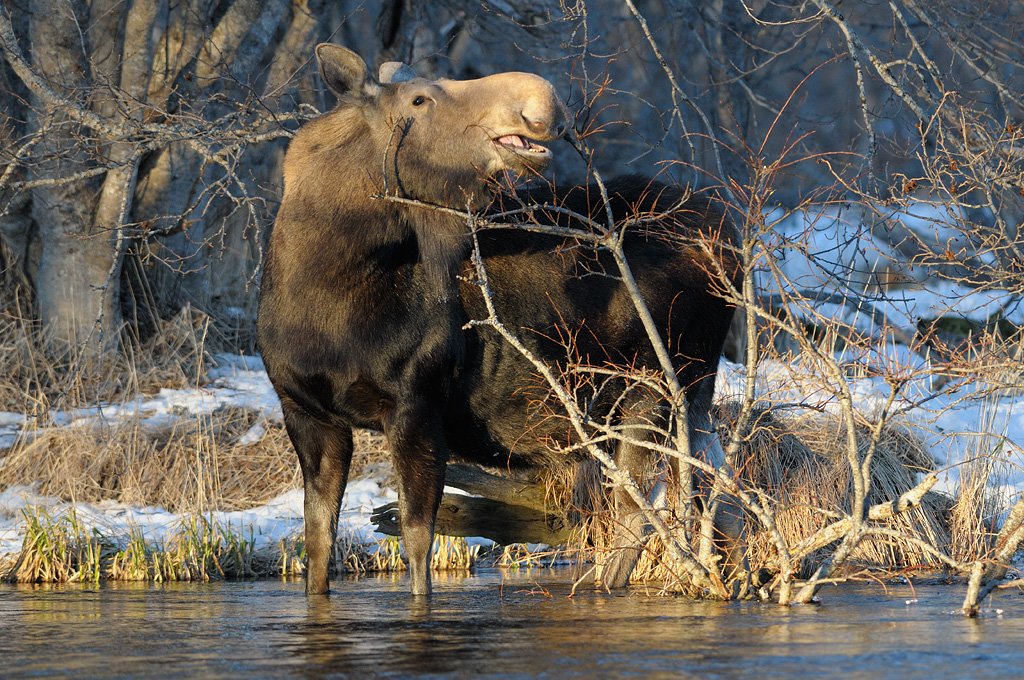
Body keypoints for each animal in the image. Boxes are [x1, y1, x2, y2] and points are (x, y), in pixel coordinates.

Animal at [253, 43, 737, 593]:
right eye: (419, 99)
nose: (541, 104)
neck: (323, 286)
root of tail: (732, 237)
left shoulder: (417, 402)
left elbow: (417, 542)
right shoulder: (305, 411)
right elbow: (317, 546)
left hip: (657, 388)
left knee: (638, 513)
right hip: (688, 399)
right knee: (714, 494)